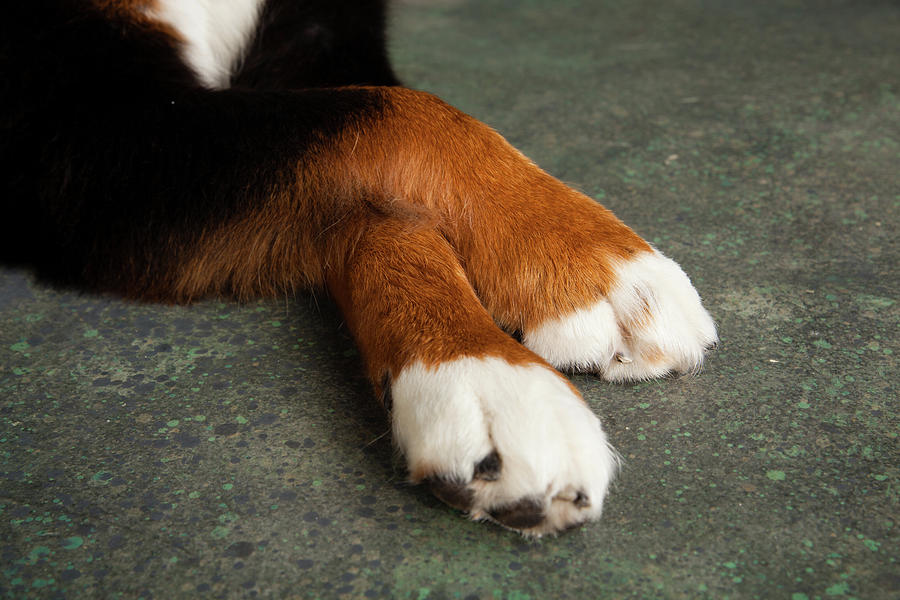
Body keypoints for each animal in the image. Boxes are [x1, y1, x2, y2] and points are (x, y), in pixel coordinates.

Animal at [0, 0, 716, 536]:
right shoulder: (87, 141)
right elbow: (404, 117)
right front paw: (527, 335)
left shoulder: (319, 33)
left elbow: (387, 183)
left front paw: (569, 267)